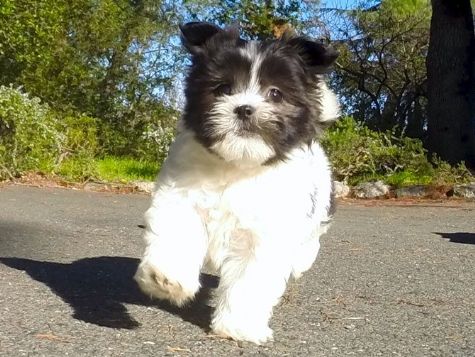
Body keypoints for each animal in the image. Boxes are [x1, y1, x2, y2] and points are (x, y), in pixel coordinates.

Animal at [136, 21, 340, 342]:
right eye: (223, 88)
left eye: (275, 94)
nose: (244, 108)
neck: (237, 166)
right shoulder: (179, 197)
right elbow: (177, 232)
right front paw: (166, 277)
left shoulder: (266, 234)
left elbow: (251, 279)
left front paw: (238, 326)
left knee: (307, 247)